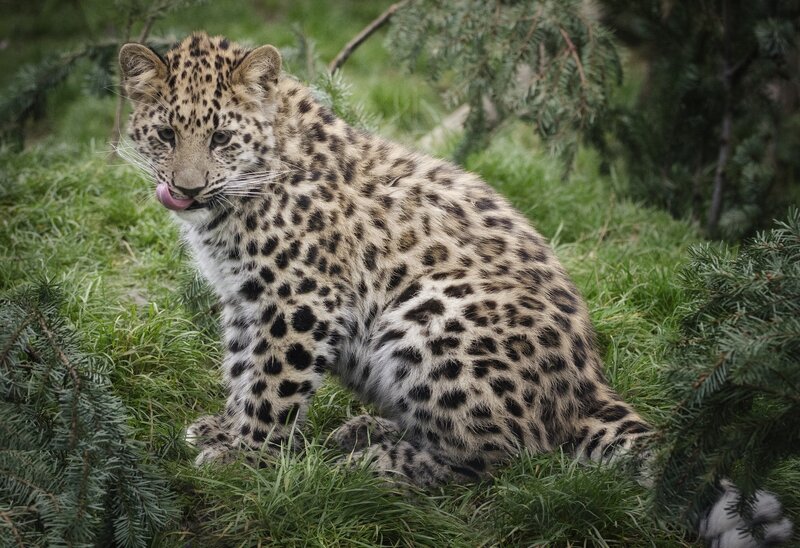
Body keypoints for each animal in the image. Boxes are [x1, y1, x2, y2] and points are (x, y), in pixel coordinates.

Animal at [118, 33, 793, 547]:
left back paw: (373, 462)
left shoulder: (299, 300)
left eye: (221, 139)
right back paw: (366, 432)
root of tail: (587, 388)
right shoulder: (245, 299)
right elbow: (242, 370)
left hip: (433, 311)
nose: (187, 188)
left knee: (508, 456)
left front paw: (244, 461)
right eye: (166, 135)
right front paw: (226, 432)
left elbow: (271, 386)